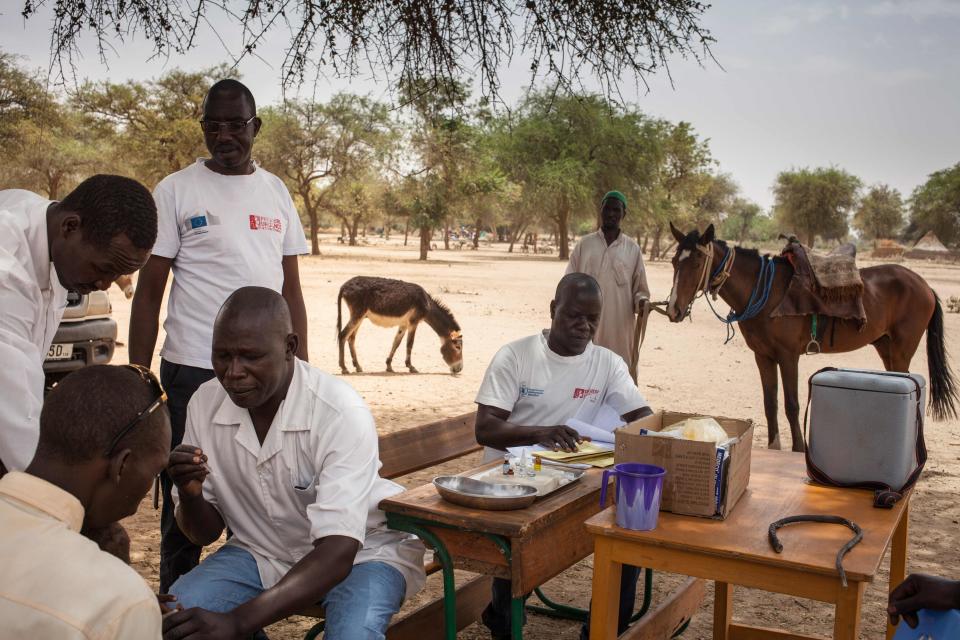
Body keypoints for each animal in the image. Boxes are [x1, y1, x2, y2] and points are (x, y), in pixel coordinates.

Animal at [664, 222, 956, 452]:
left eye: (697, 262)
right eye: (674, 261)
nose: (673, 310)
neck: (766, 292)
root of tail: (925, 285)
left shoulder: (788, 355)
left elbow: (791, 405)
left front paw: (798, 449)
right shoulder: (763, 356)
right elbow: (770, 403)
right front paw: (774, 447)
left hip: (902, 348)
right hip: (886, 347)